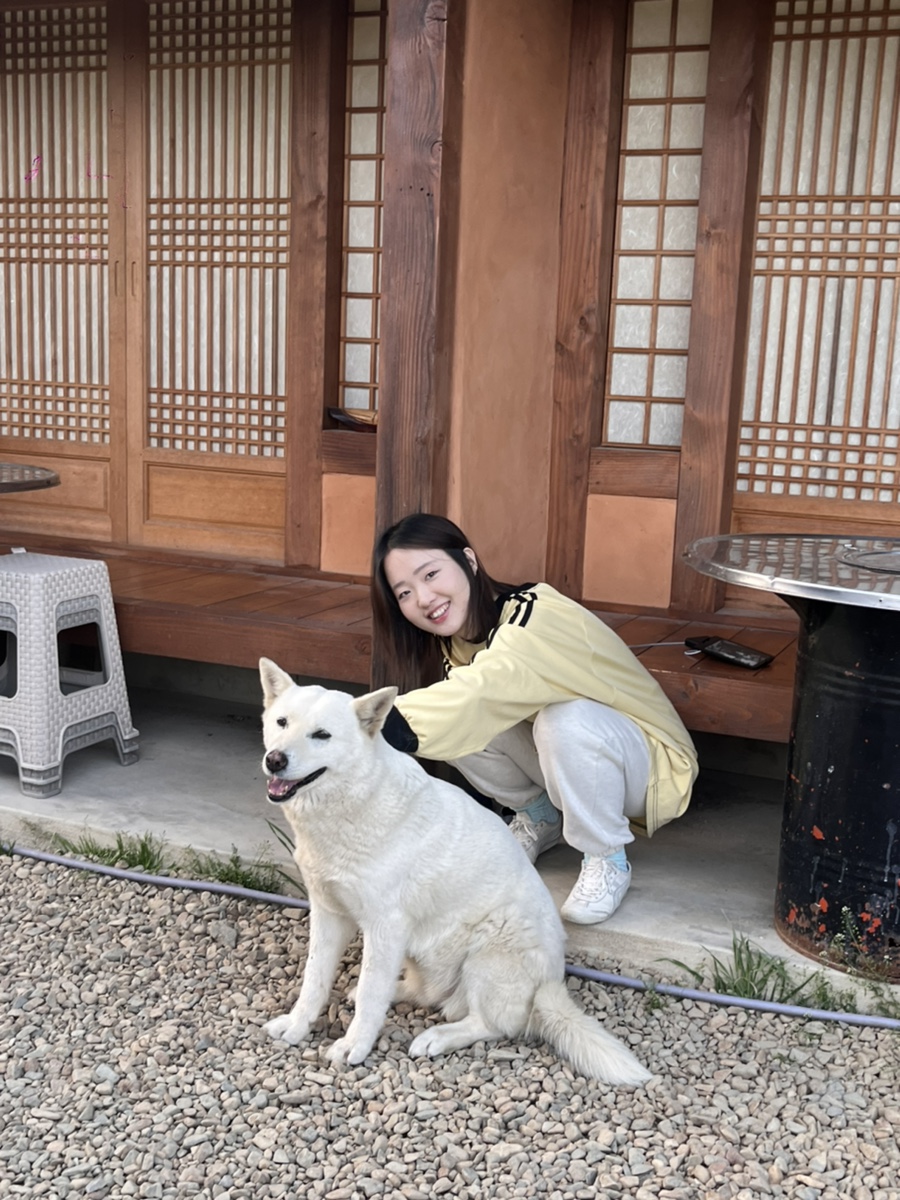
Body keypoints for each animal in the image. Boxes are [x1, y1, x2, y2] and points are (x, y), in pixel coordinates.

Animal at [259, 657, 651, 1085]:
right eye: (282, 722)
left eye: (322, 735)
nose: (275, 759)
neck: (353, 804)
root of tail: (547, 985)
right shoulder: (330, 914)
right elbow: (314, 981)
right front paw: (297, 1026)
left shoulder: (385, 927)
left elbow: (369, 994)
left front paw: (353, 1046)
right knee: (428, 993)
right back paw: (403, 994)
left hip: (487, 950)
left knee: (493, 1024)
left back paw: (438, 1037)